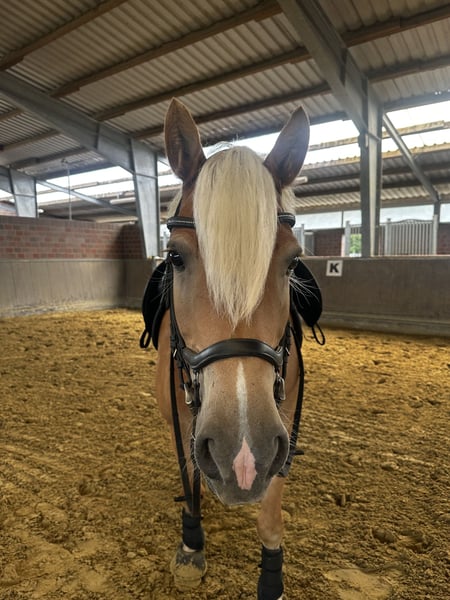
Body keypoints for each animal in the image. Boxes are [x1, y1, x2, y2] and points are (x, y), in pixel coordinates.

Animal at [141, 98, 320, 599]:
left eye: (293, 262)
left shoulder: (282, 424)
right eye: (176, 257)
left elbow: (270, 516)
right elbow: (192, 478)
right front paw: (191, 544)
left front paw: (272, 577)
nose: (241, 452)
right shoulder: (181, 417)